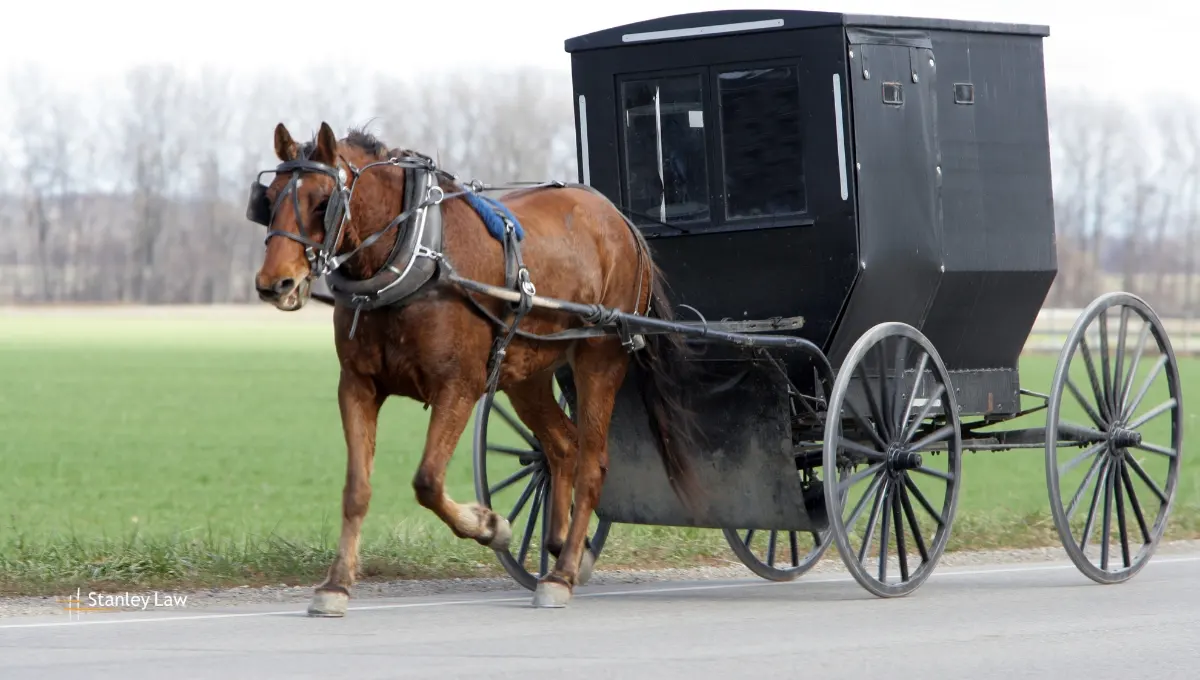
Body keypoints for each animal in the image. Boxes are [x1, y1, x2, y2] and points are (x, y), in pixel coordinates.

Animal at [248, 121, 702, 613]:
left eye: (320, 201)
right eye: (268, 199)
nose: (275, 283)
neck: (415, 254)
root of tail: (619, 220)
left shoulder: (458, 387)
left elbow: (427, 480)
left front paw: (491, 525)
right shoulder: (357, 386)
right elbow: (357, 489)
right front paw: (336, 584)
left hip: (599, 359)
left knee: (592, 461)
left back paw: (560, 574)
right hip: (528, 372)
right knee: (563, 446)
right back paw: (565, 549)